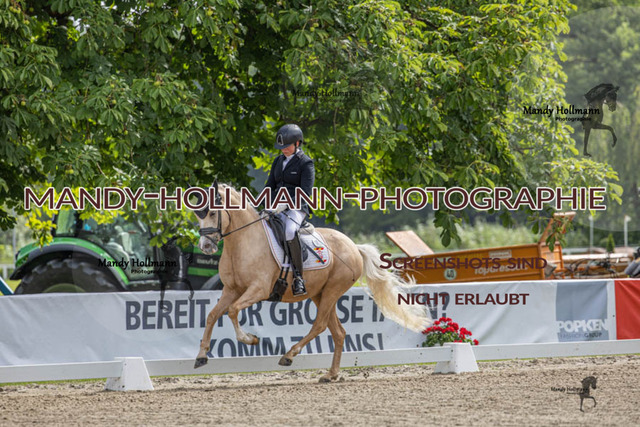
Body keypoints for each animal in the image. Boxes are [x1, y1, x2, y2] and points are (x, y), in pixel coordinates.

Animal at [192, 182, 431, 382]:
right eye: (198, 215)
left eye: (212, 212)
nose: (205, 247)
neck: (243, 242)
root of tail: (353, 246)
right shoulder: (231, 290)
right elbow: (213, 315)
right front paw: (201, 356)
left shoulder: (258, 290)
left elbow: (232, 311)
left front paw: (250, 340)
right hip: (320, 293)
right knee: (338, 332)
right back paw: (331, 374)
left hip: (332, 290)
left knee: (320, 325)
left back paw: (289, 355)